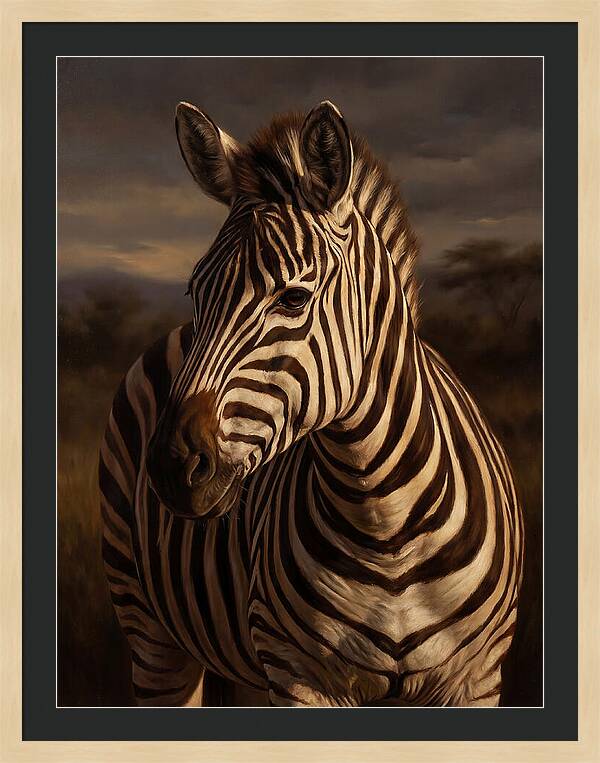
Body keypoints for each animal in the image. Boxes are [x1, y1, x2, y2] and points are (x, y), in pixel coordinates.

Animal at [99, 100, 524, 707]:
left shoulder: (476, 678)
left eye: (295, 298)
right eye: (195, 292)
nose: (172, 466)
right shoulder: (300, 673)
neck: (385, 525)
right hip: (150, 629)